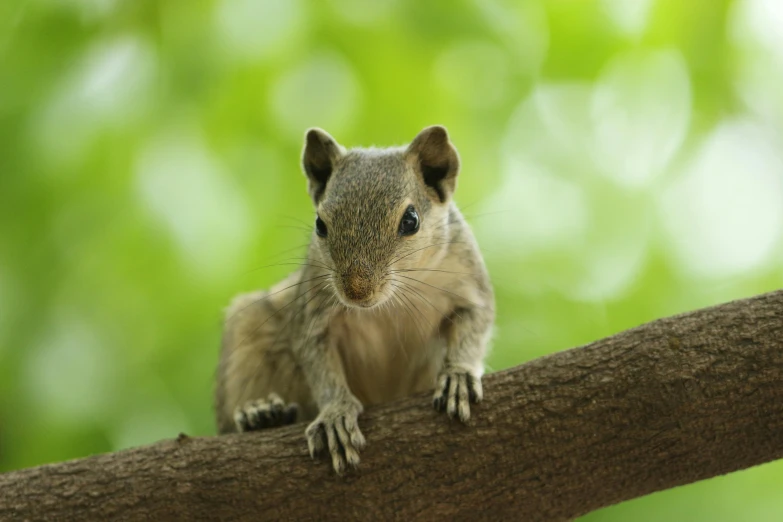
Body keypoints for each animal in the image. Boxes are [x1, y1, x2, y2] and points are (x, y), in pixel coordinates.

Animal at [213, 123, 496, 472]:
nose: (357, 291)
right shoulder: (314, 315)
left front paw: (458, 374)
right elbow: (321, 368)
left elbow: (474, 327)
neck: (388, 303)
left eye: (411, 220)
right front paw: (335, 414)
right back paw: (261, 413)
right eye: (320, 224)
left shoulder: (468, 284)